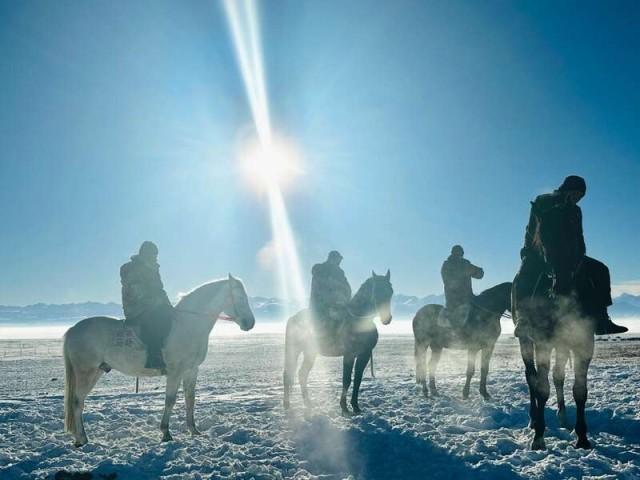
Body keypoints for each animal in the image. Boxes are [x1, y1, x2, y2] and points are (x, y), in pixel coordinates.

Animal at [63, 274, 255, 446]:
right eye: (239, 297)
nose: (250, 323)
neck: (188, 324)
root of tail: (73, 329)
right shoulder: (175, 372)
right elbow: (170, 400)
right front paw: (166, 433)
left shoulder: (191, 370)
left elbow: (190, 399)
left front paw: (194, 430)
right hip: (86, 372)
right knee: (77, 402)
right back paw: (82, 439)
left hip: (97, 371)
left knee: (79, 401)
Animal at [282, 272, 392, 414]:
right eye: (376, 291)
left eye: (390, 292)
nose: (387, 319)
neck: (359, 322)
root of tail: (292, 318)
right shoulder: (349, 354)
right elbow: (346, 380)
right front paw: (344, 407)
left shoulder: (364, 355)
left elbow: (358, 379)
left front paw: (356, 406)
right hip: (294, 351)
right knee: (288, 374)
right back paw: (287, 404)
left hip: (310, 353)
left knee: (302, 374)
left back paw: (308, 403)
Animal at [512, 270, 596, 450]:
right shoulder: (543, 342)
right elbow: (542, 388)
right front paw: (538, 437)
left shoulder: (584, 342)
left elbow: (580, 390)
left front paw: (582, 437)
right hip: (526, 340)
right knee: (531, 376)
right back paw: (533, 419)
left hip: (562, 344)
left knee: (558, 376)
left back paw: (563, 418)